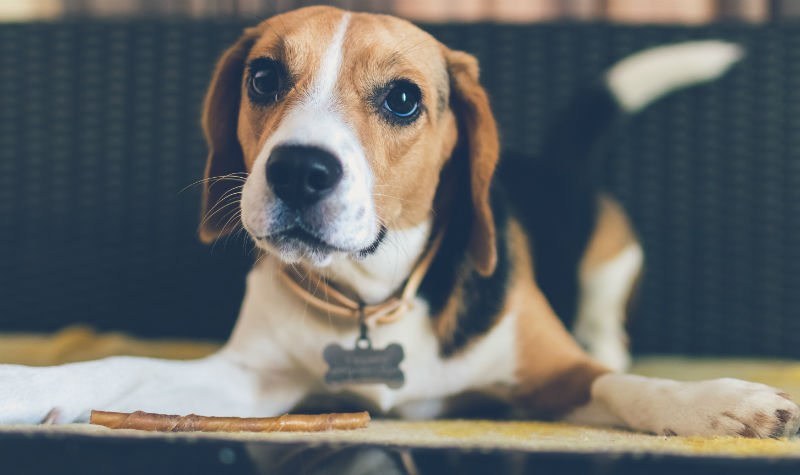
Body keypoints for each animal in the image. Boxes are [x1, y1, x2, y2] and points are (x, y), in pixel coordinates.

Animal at [1, 6, 800, 438]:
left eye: (404, 98)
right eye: (263, 77)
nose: (299, 170)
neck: (373, 294)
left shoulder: (557, 371)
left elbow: (625, 386)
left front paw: (719, 404)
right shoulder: (246, 382)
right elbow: (116, 369)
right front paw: (23, 387)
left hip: (614, 258)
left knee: (608, 330)